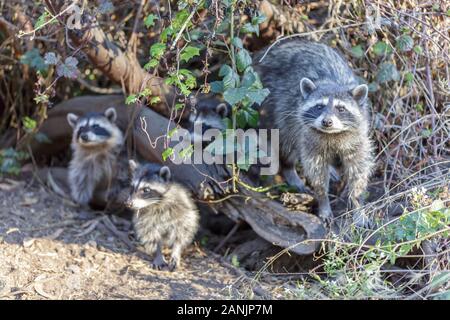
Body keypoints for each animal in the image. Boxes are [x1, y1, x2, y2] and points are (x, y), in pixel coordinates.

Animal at [255, 40, 374, 225]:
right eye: (319, 106)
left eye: (341, 108)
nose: (327, 122)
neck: (332, 134)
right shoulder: (309, 137)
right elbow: (316, 172)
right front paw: (323, 201)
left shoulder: (358, 136)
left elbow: (359, 170)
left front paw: (357, 204)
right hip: (271, 105)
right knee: (286, 142)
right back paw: (289, 169)